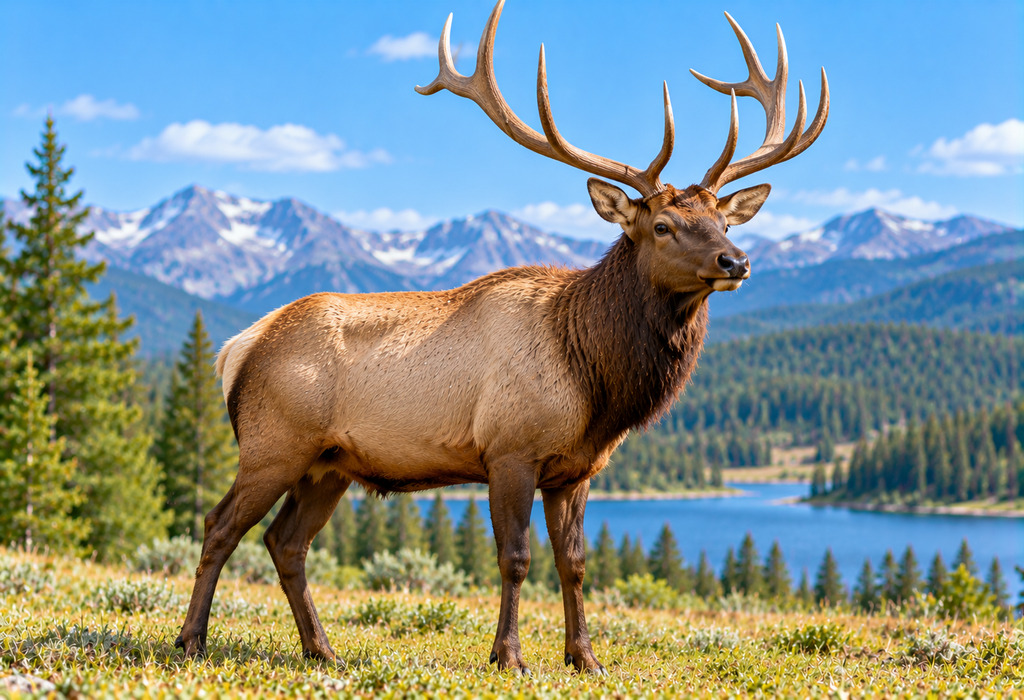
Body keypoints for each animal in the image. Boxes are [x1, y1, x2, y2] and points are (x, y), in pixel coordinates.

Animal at [175, 0, 828, 675]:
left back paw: (322, 650)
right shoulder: (509, 449)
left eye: (724, 220)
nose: (735, 261)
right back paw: (192, 641)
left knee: (285, 542)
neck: (595, 382)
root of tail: (236, 348)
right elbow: (515, 559)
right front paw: (509, 656)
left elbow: (575, 564)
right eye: (665, 225)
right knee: (220, 524)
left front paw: (585, 658)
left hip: (328, 464)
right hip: (273, 444)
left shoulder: (576, 469)